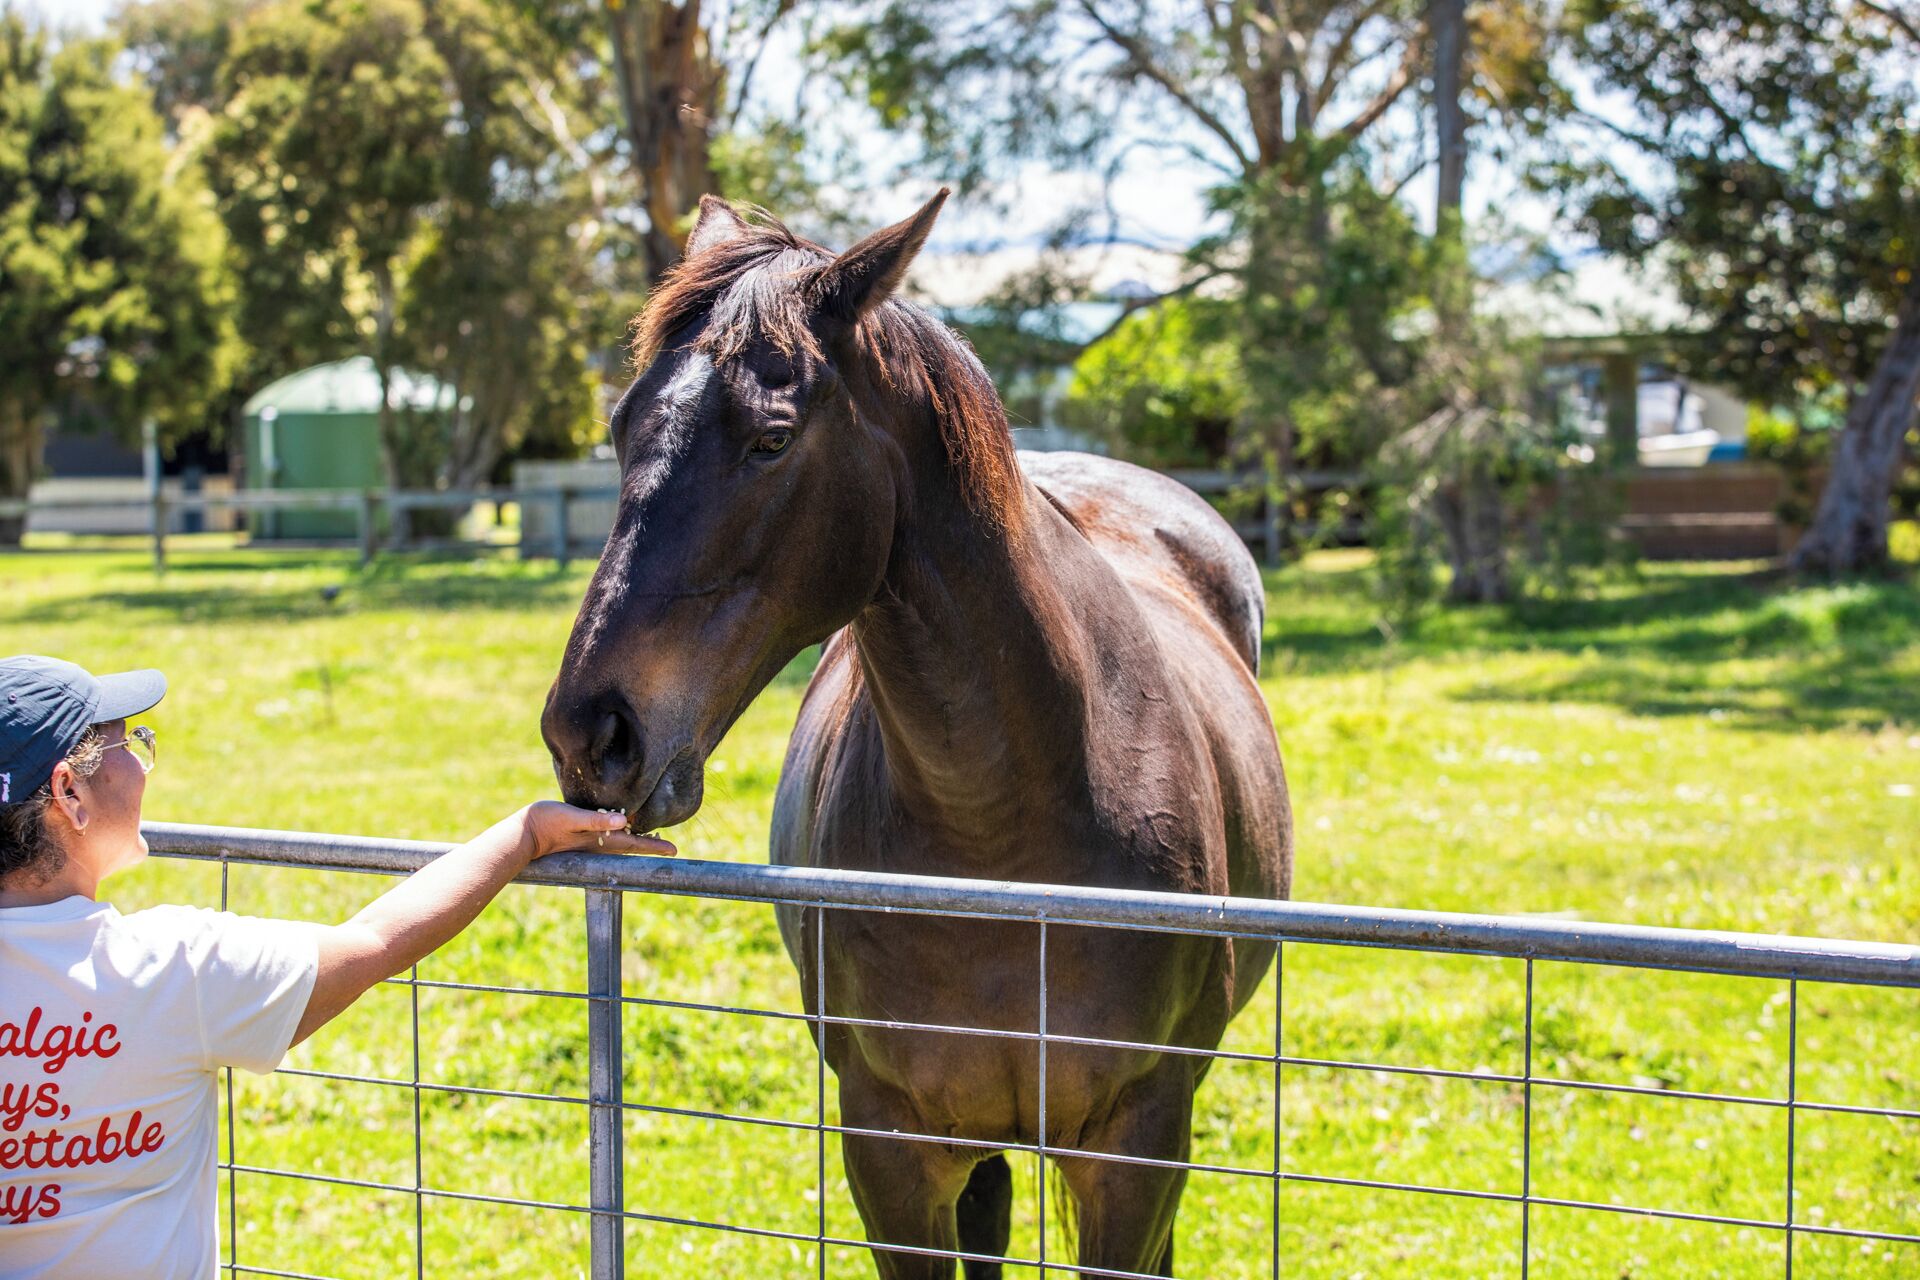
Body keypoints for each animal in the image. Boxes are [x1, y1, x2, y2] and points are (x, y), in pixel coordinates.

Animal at [542, 191, 1292, 1278]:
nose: (590, 732)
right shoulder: (891, 1150)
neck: (1006, 830)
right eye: (620, 425)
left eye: (771, 439)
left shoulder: (1136, 1148)